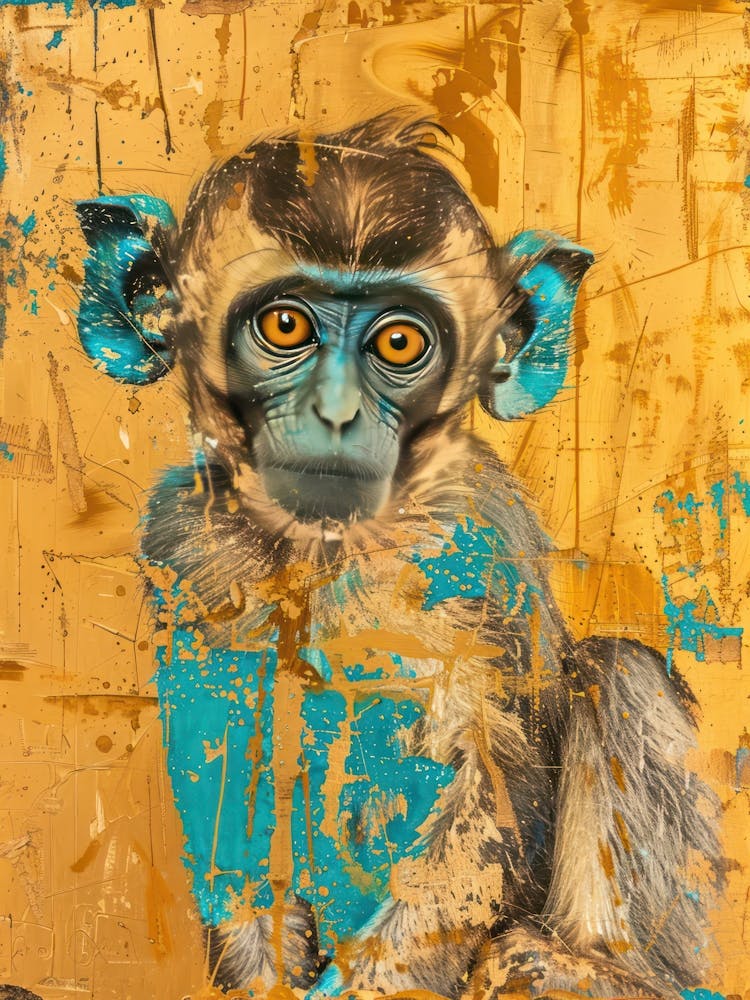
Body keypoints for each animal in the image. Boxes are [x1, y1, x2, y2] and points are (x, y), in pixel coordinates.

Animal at [74, 114, 721, 999]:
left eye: (401, 341)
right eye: (286, 327)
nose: (337, 412)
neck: (322, 551)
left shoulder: (467, 548)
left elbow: (483, 784)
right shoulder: (185, 544)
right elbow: (230, 768)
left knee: (616, 670)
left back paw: (580, 967)